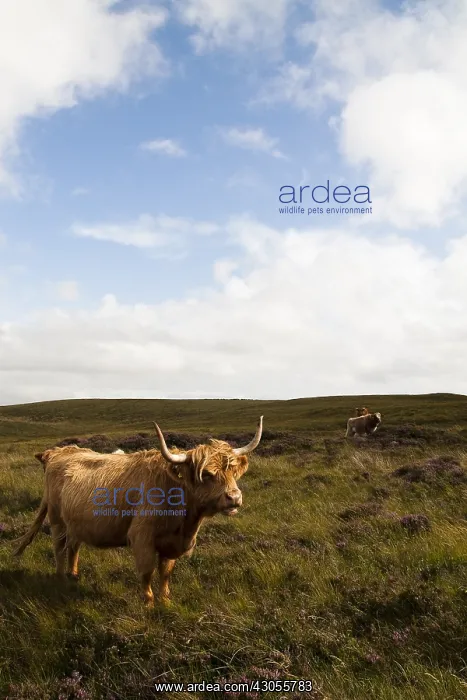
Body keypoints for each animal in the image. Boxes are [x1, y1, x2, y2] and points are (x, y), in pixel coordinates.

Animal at [13, 418, 263, 607]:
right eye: (207, 474)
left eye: (232, 470)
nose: (234, 498)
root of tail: (59, 453)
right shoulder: (142, 537)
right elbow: (147, 572)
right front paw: (149, 604)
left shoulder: (171, 543)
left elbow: (165, 572)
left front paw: (165, 601)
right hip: (57, 519)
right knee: (59, 548)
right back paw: (61, 578)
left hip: (76, 522)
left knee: (73, 546)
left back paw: (73, 576)